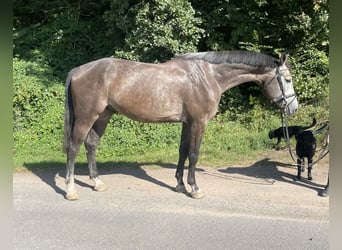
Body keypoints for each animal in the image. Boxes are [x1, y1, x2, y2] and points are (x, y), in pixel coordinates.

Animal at [62, 51, 298, 201]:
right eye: (287, 80)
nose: (293, 108)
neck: (208, 76)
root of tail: (78, 70)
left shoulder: (187, 123)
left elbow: (183, 151)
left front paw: (179, 185)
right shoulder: (198, 122)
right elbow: (193, 154)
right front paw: (194, 188)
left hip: (103, 115)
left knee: (91, 144)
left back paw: (97, 182)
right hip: (86, 117)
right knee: (74, 147)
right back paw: (71, 190)